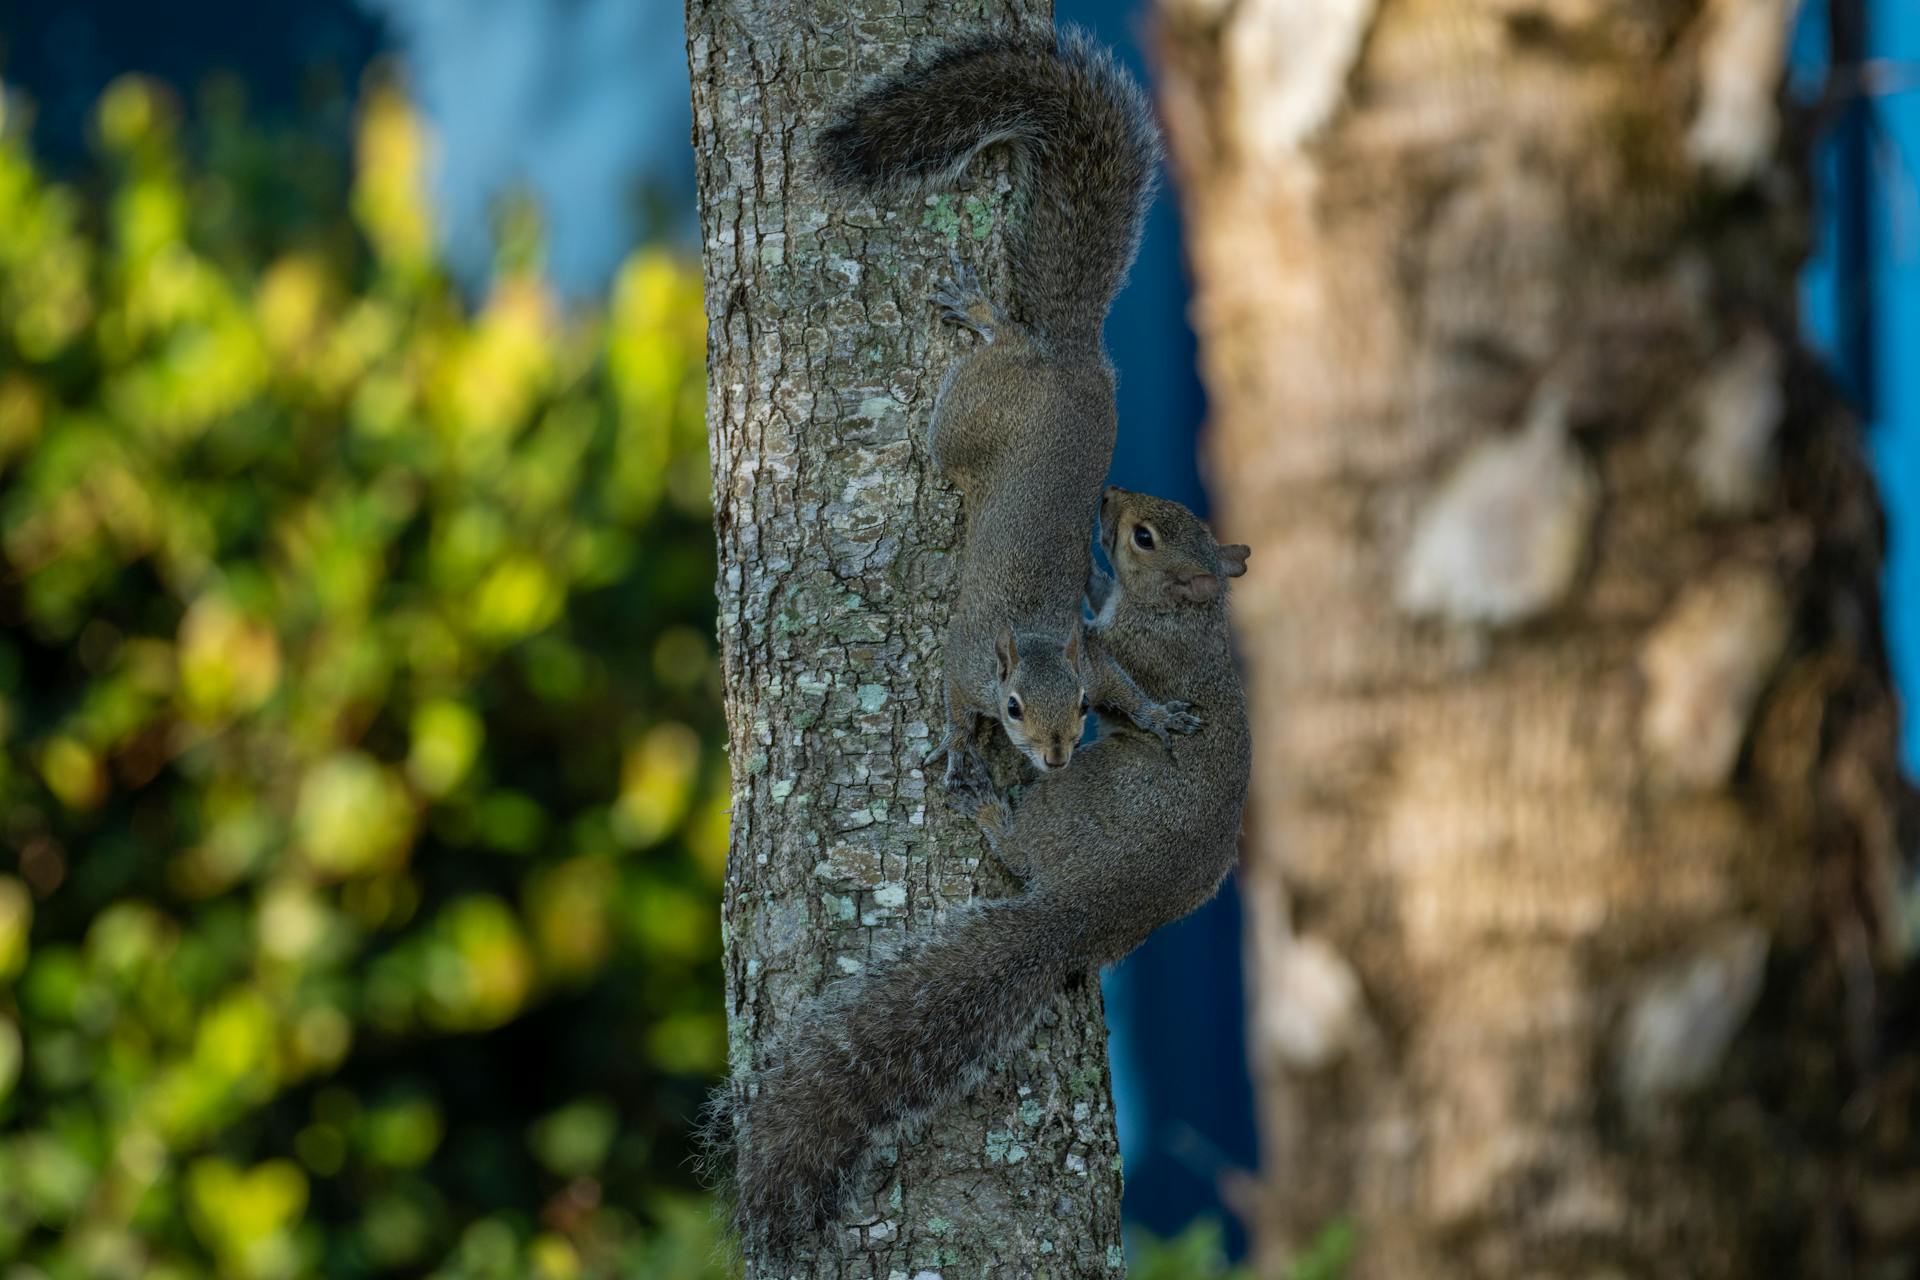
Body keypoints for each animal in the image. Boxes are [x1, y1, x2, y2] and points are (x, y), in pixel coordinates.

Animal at [714, 485, 1251, 1258]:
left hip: (1071, 793)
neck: (1186, 617)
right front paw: (1093, 578)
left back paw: (988, 808)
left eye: (1144, 536)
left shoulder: (1122, 651)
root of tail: (1082, 911)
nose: (1109, 498)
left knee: (1020, 849)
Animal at [817, 25, 1190, 790]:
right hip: (970, 415)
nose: (1056, 757)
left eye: (1082, 708)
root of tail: (1071, 354)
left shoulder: (1091, 659)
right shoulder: (963, 665)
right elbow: (955, 706)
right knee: (1003, 349)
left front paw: (1158, 714)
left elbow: (1125, 684)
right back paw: (985, 314)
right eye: (1013, 708)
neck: (1039, 642)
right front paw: (962, 748)